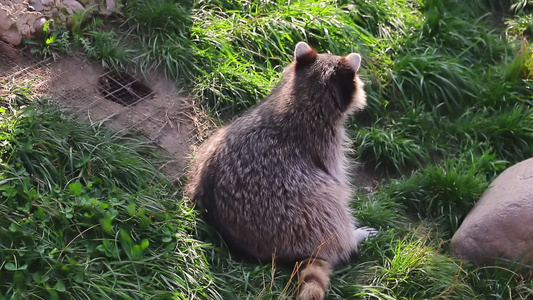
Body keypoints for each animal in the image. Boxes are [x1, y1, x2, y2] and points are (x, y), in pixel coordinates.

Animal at [185, 42, 376, 300]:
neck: (304, 96)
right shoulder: (325, 143)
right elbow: (338, 184)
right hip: (301, 218)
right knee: (332, 212)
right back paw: (352, 239)